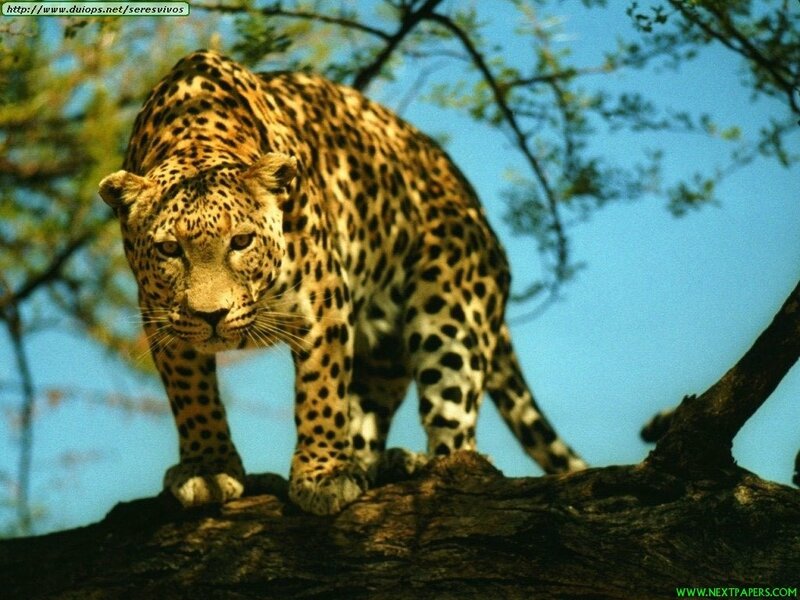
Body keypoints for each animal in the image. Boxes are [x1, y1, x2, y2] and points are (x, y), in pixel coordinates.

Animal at [99, 49, 587, 516]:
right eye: (169, 249)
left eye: (240, 241)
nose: (212, 315)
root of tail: (479, 213)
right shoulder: (162, 315)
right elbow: (192, 397)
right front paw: (209, 469)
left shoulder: (323, 302)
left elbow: (323, 388)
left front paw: (323, 475)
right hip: (386, 351)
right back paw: (377, 463)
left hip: (450, 314)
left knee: (459, 436)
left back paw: (422, 465)